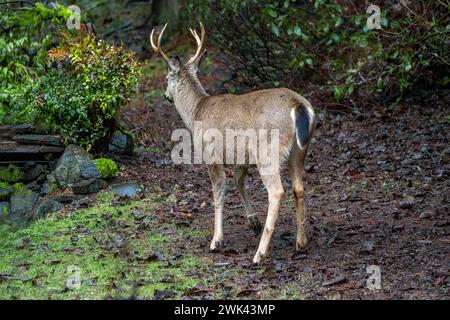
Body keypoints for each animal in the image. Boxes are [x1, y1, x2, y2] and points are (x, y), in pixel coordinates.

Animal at [149, 21, 314, 262]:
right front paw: (252, 220)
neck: (196, 111)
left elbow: (219, 193)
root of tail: (298, 105)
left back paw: (260, 253)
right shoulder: (240, 158)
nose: (165, 96)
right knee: (298, 188)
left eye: (166, 78)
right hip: (299, 150)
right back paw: (301, 243)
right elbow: (238, 181)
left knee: (277, 191)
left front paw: (216, 240)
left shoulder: (211, 155)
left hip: (267, 151)